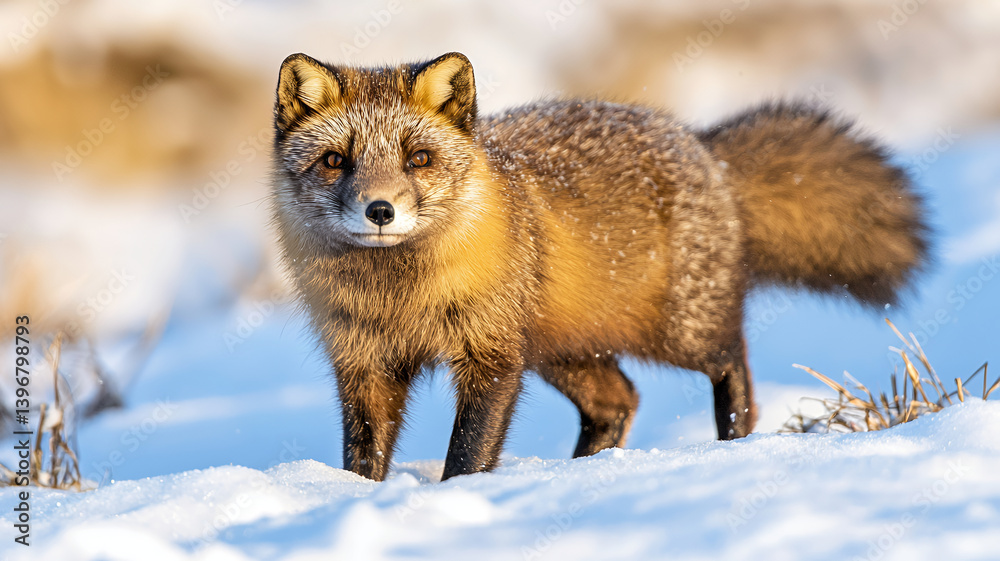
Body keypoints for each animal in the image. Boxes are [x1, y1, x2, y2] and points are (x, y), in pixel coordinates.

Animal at [270, 51, 928, 482]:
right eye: (335, 160)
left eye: (419, 158)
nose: (380, 210)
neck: (399, 299)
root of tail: (705, 150)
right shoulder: (363, 364)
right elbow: (363, 460)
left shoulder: (493, 357)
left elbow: (469, 454)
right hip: (563, 351)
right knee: (620, 401)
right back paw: (586, 471)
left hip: (677, 332)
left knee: (731, 363)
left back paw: (732, 440)